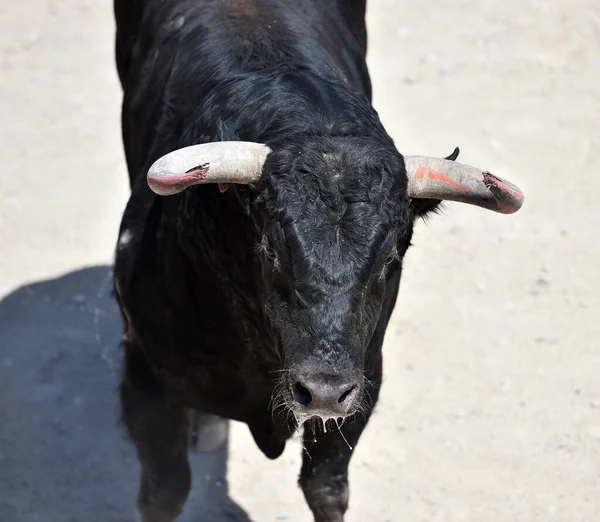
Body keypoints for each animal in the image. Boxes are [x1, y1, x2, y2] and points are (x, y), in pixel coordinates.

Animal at [111, 1, 520, 520]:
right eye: (270, 249)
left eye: (391, 257)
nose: (323, 389)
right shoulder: (145, 378)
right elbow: (164, 492)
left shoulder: (364, 380)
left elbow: (325, 486)